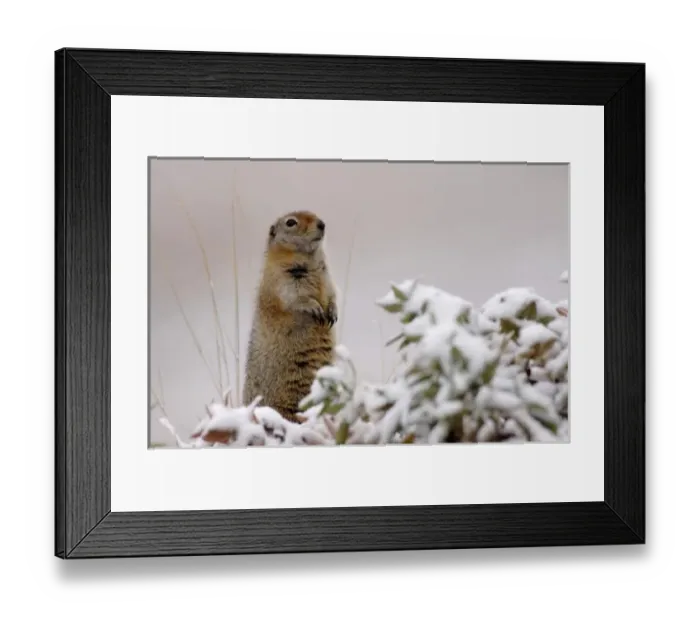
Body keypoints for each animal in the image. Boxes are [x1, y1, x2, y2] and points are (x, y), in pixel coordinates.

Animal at [242, 210, 338, 423]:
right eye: (291, 222)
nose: (322, 224)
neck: (309, 259)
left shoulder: (327, 276)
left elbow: (332, 293)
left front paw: (332, 313)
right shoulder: (282, 279)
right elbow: (295, 298)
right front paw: (315, 308)